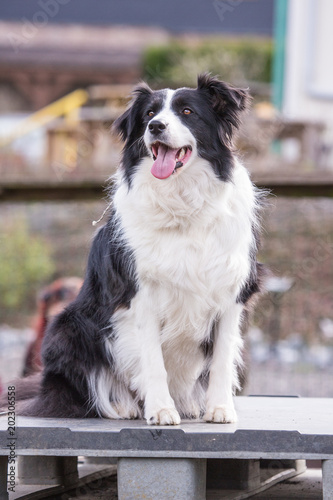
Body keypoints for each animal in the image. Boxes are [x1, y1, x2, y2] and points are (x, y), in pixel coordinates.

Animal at [22, 73, 264, 426]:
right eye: (149, 114)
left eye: (188, 112)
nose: (156, 127)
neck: (182, 202)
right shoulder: (139, 296)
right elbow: (153, 362)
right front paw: (161, 410)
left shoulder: (232, 291)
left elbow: (221, 358)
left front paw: (220, 409)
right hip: (66, 328)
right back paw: (123, 406)